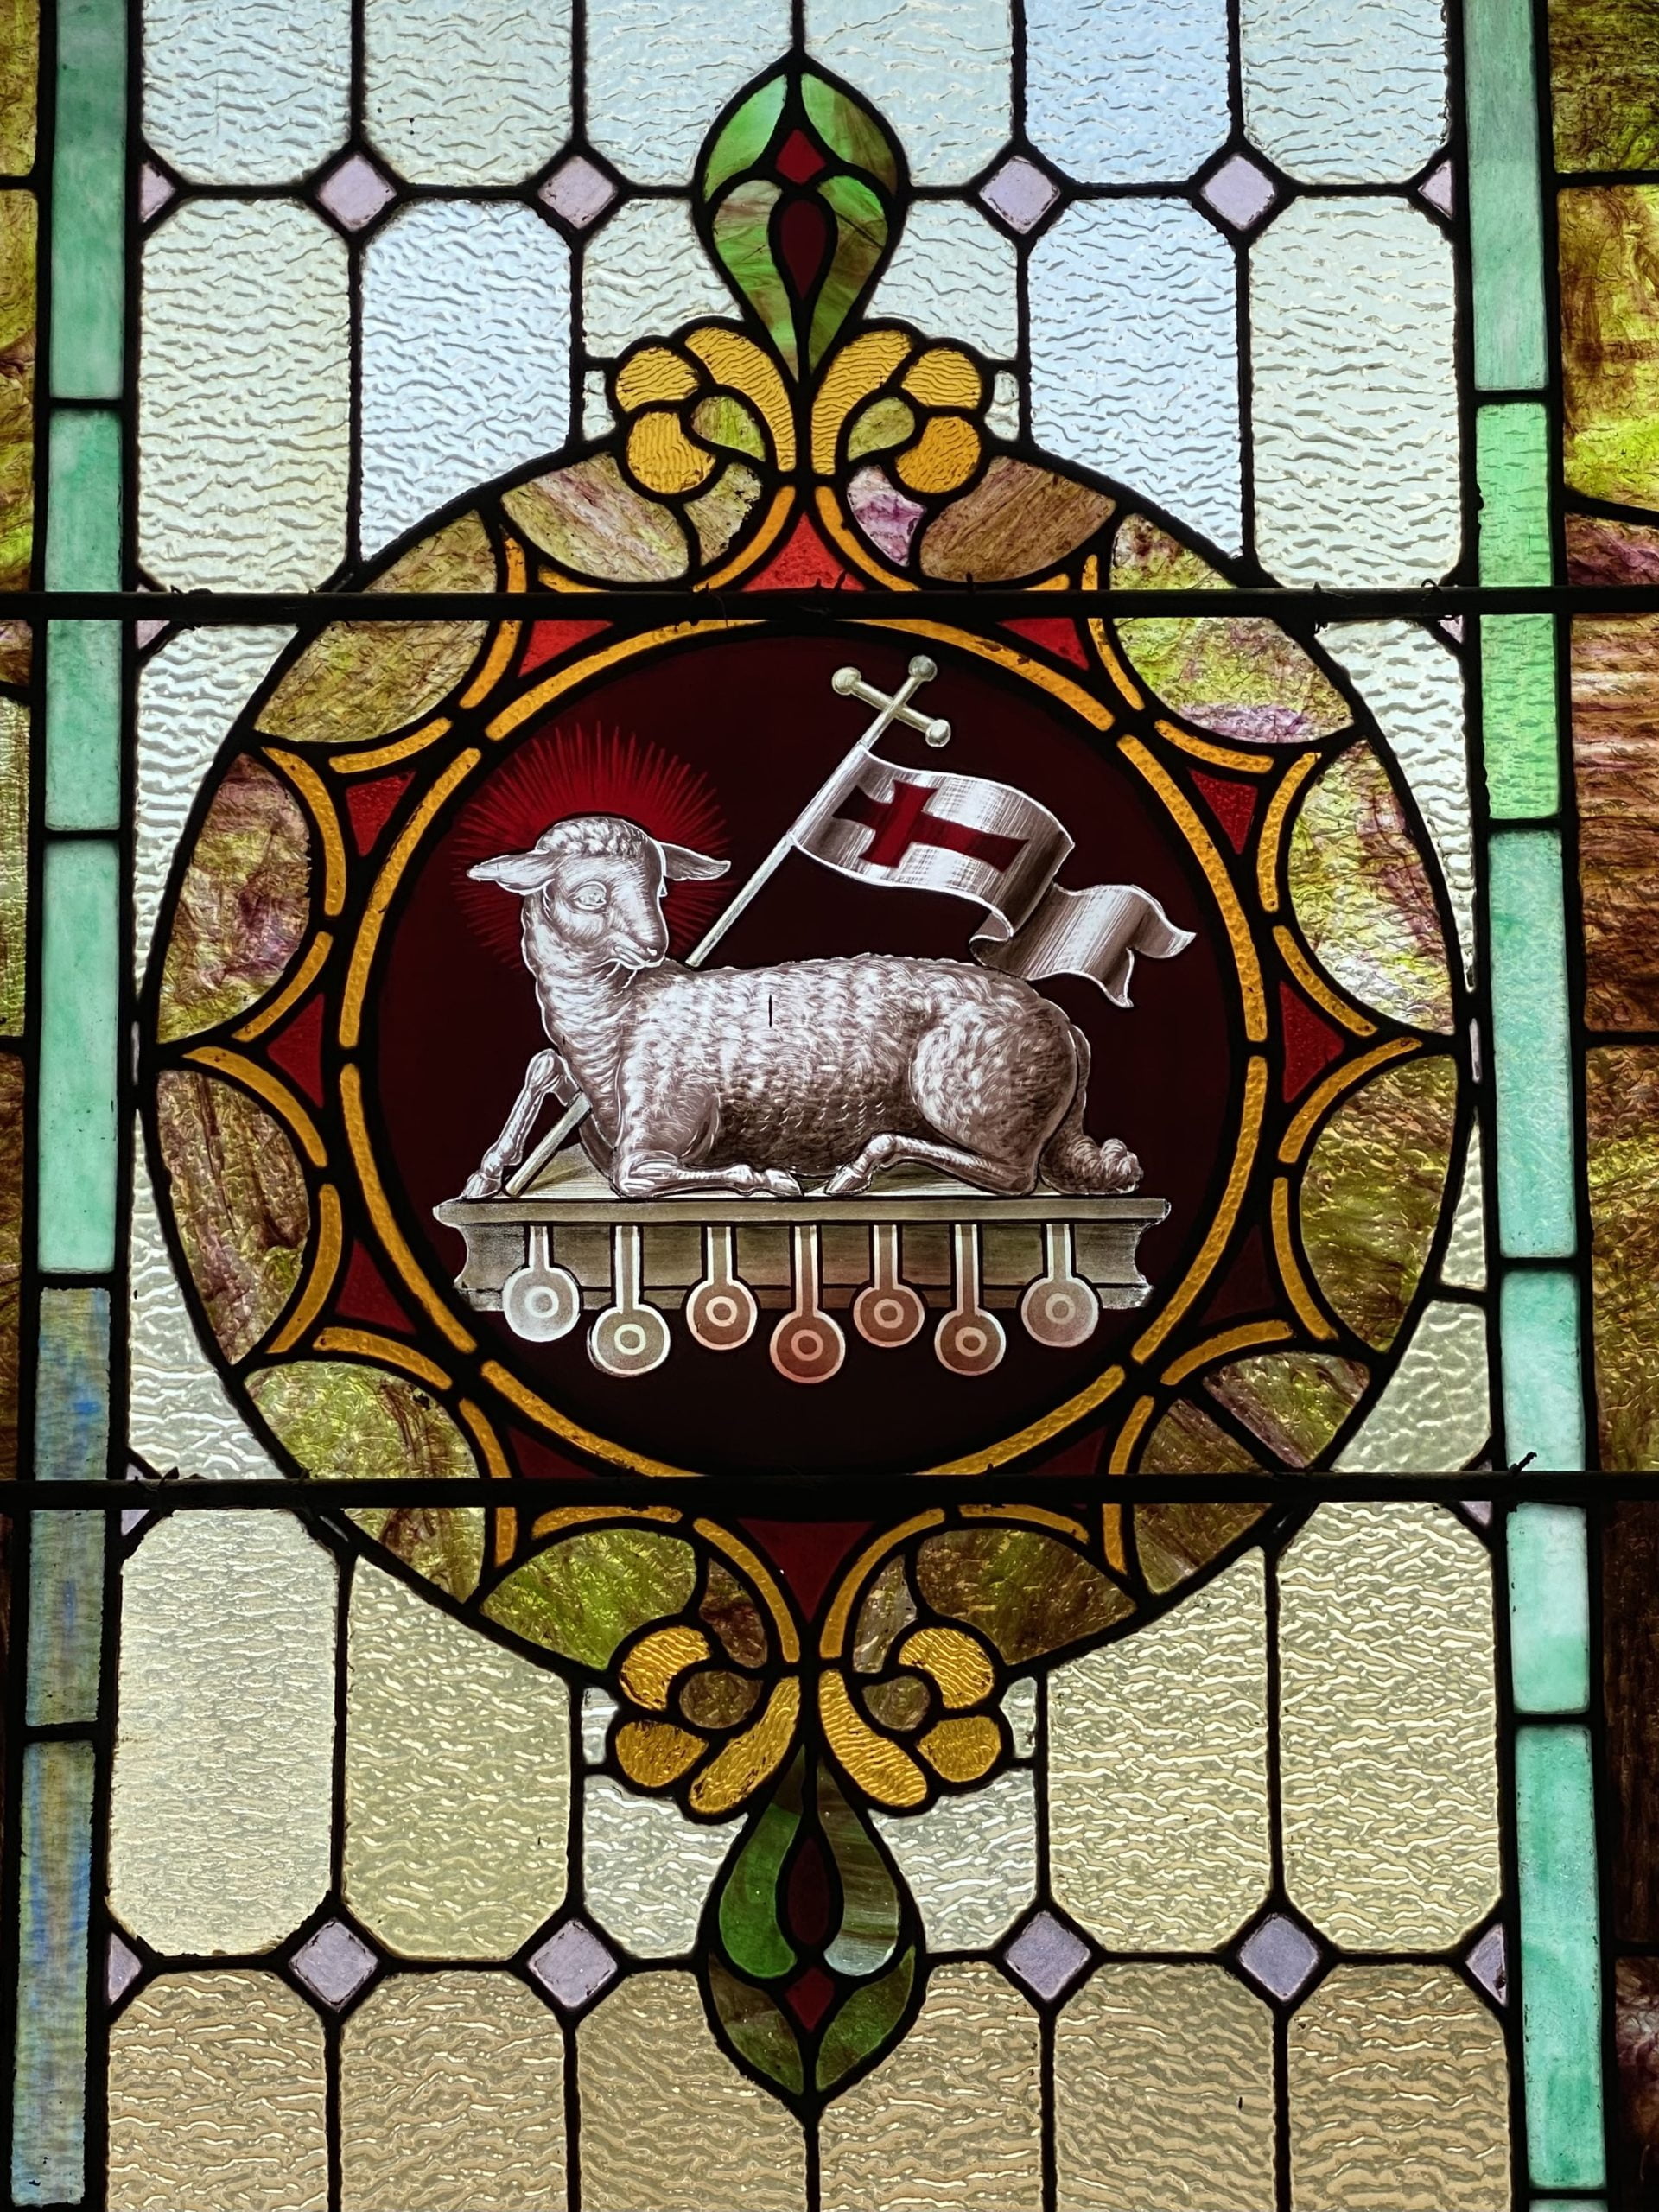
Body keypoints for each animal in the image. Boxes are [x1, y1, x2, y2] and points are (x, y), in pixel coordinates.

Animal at [461, 812, 1143, 1203]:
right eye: (591, 895)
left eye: (658, 886)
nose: (652, 947)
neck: (613, 1020)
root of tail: (1067, 1027)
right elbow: (542, 1067)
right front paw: (487, 1178)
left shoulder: (657, 1136)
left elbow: (635, 1178)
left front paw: (769, 1179)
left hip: (967, 1099)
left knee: (1013, 1177)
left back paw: (855, 1171)